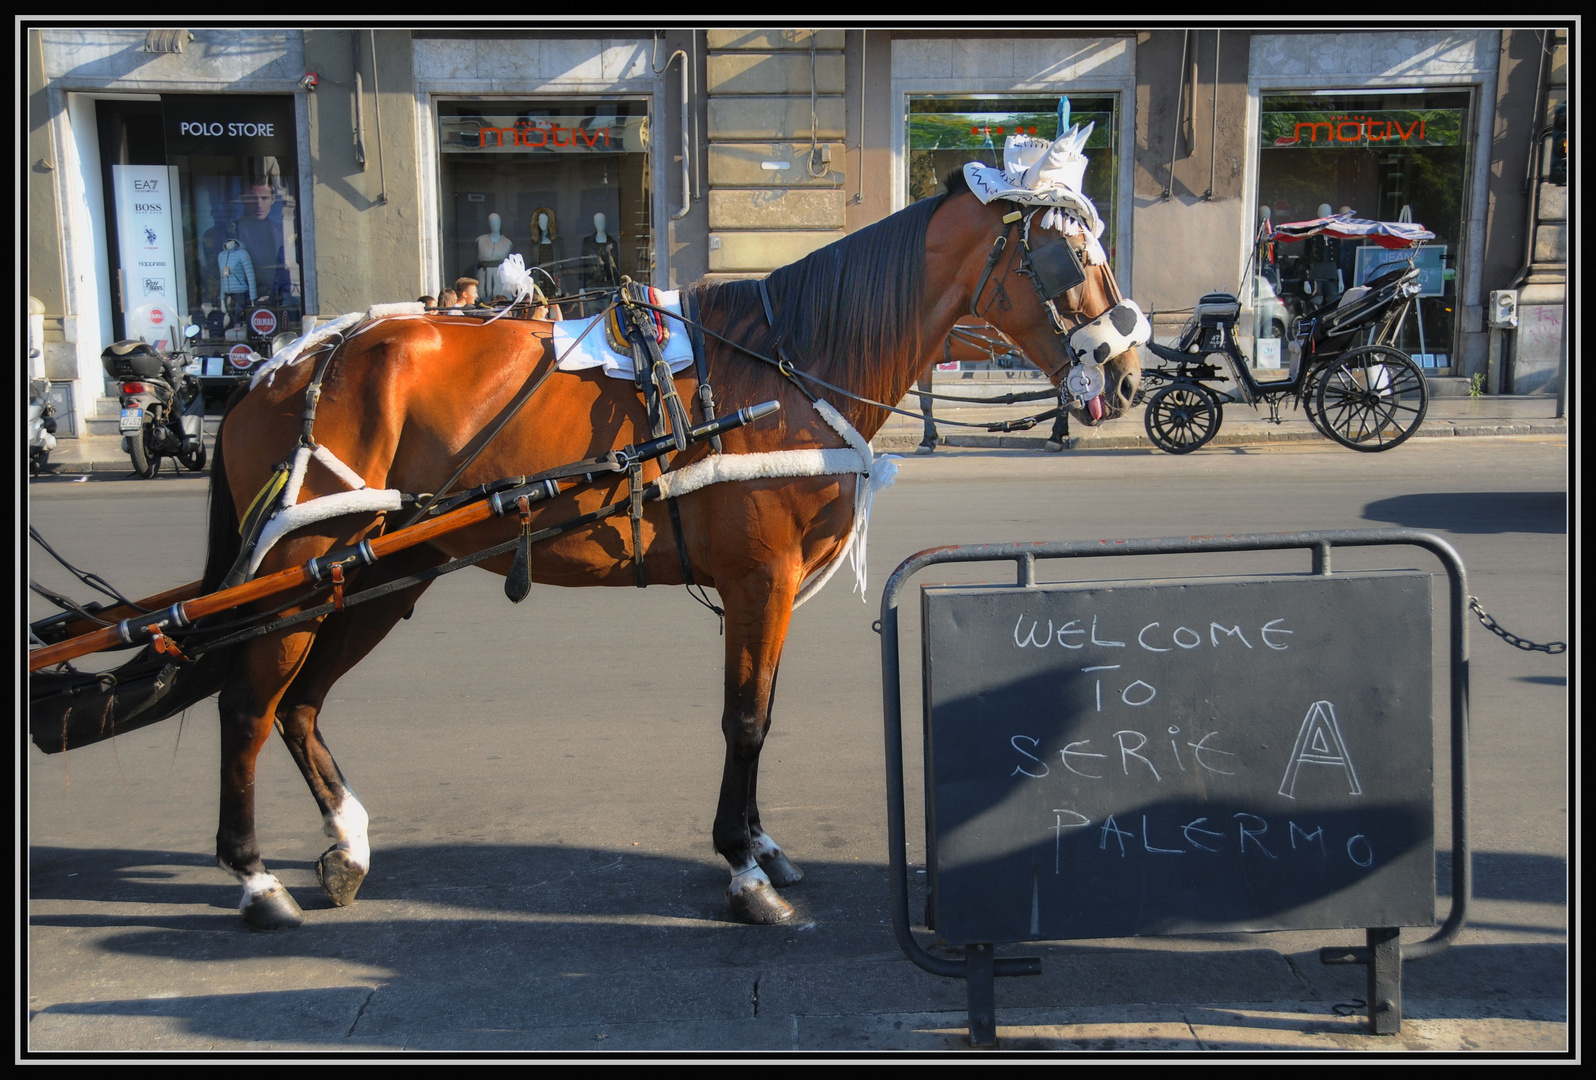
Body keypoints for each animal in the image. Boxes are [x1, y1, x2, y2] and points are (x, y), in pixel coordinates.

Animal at [199, 168, 1142, 925]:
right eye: (1067, 259)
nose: (1130, 375)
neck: (784, 367)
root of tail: (281, 366)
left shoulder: (771, 588)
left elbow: (763, 714)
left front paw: (761, 845)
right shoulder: (760, 579)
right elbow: (745, 718)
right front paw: (742, 868)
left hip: (379, 577)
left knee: (300, 704)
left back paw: (348, 843)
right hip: (301, 576)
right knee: (249, 705)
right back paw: (253, 878)